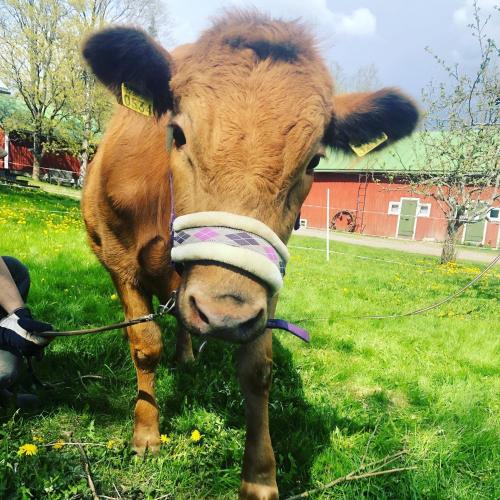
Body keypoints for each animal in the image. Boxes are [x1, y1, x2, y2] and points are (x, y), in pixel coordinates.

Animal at [82, 11, 418, 500]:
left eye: (315, 161)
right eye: (178, 134)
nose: (224, 312)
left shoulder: (265, 282)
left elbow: (258, 369)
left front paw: (260, 477)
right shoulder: (119, 260)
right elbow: (145, 346)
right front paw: (145, 434)